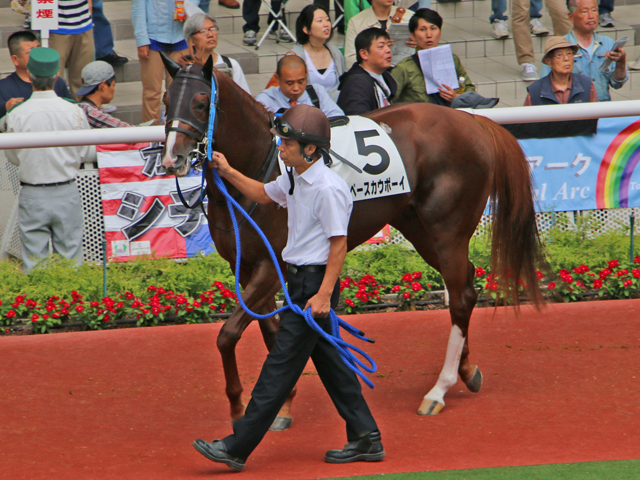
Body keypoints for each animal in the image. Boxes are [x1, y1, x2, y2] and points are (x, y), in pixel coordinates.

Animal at [159, 53, 546, 428]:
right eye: (165, 101)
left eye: (199, 102)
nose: (172, 159)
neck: (260, 167)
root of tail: (473, 122)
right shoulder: (245, 268)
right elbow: (269, 331)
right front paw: (281, 403)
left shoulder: (273, 264)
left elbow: (228, 334)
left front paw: (241, 406)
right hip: (419, 228)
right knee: (465, 284)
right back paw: (466, 370)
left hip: (447, 228)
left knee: (461, 296)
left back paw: (439, 389)